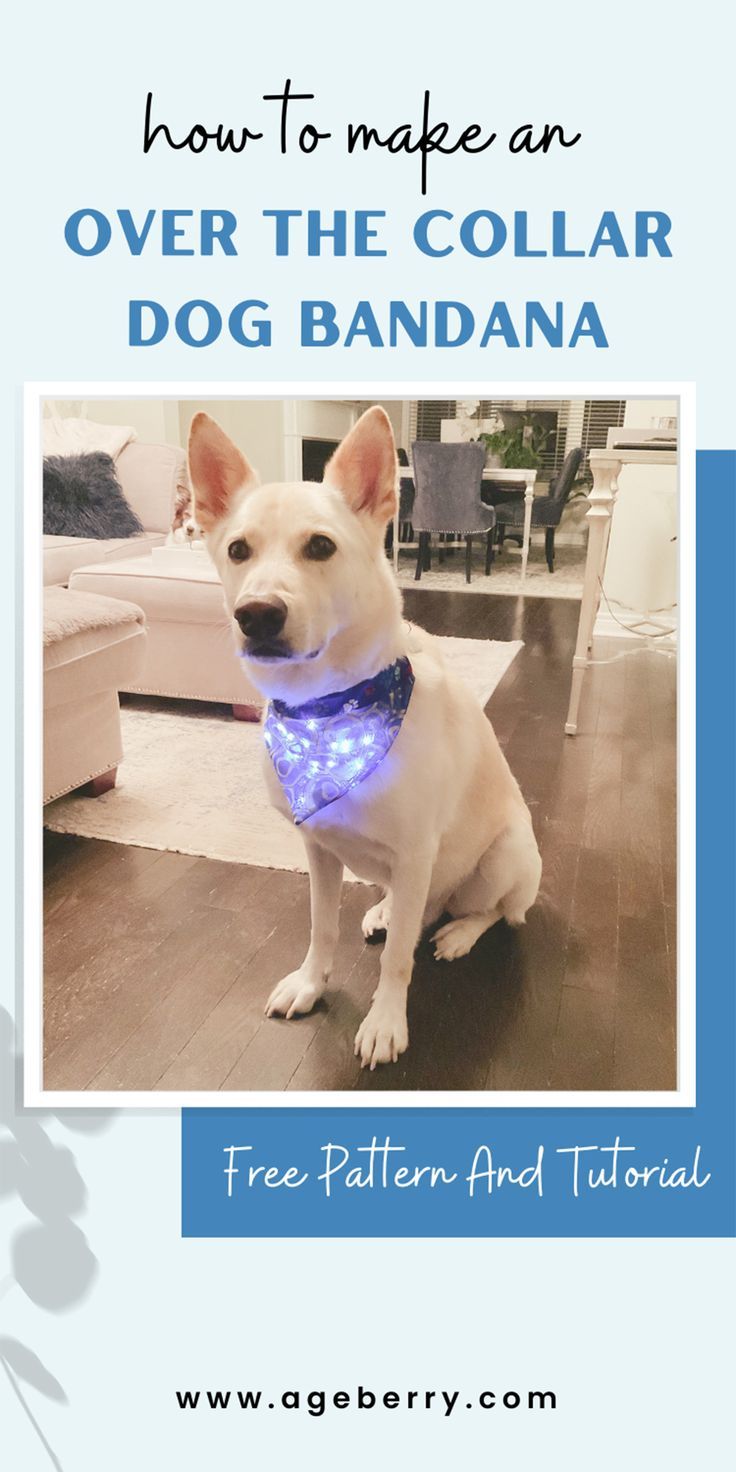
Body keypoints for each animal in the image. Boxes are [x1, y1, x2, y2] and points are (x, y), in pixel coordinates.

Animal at [186, 406, 538, 1071]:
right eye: (238, 550)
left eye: (320, 546)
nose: (256, 615)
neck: (326, 710)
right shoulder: (319, 850)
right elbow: (321, 927)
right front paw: (310, 983)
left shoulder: (417, 850)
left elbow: (398, 960)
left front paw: (385, 1022)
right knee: (418, 903)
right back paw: (386, 909)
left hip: (506, 857)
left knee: (492, 911)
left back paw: (458, 932)